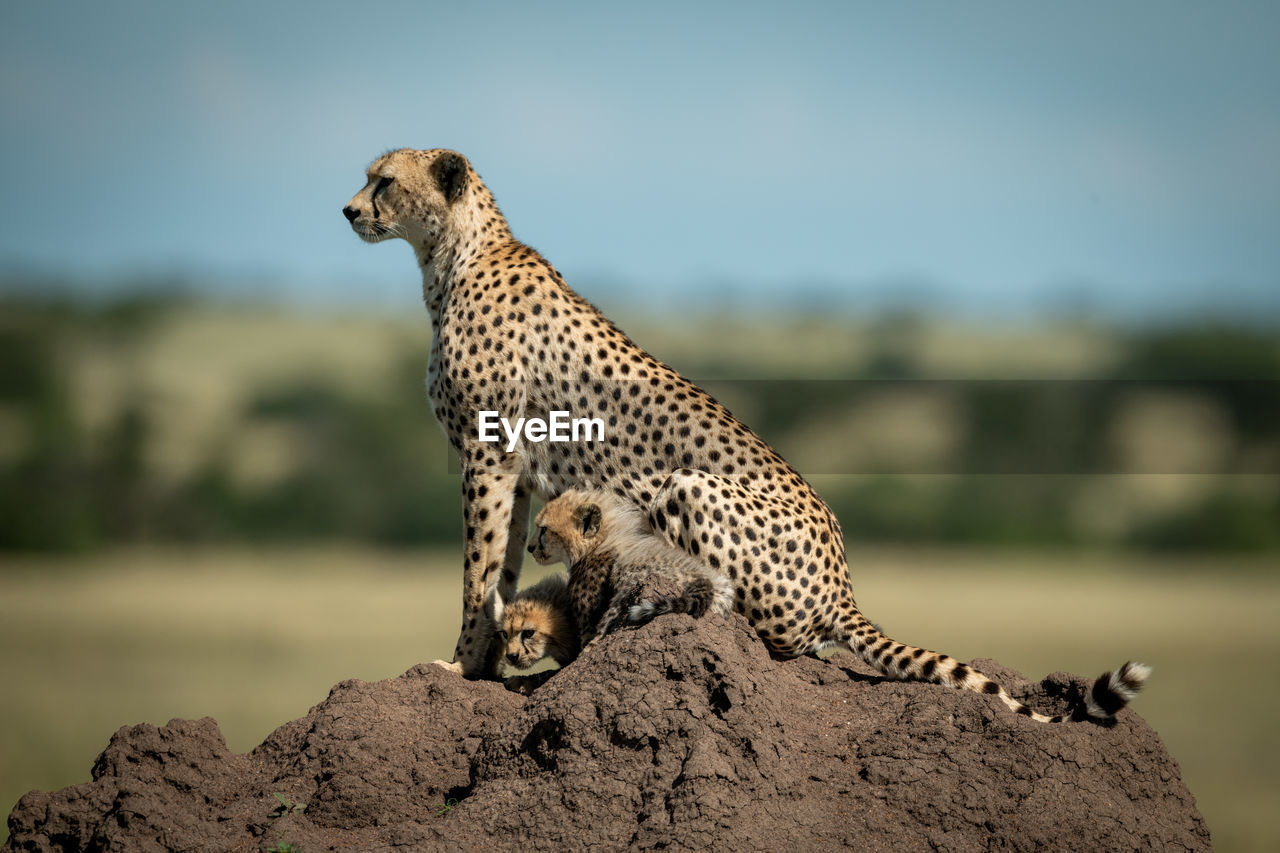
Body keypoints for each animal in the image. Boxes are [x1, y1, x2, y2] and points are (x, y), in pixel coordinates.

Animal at [343, 149, 1152, 722]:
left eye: (383, 180)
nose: (347, 210)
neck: (453, 258)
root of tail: (845, 584)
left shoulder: (489, 456)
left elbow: (477, 573)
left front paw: (458, 665)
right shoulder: (509, 469)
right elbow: (500, 570)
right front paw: (480, 666)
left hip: (687, 486)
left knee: (772, 636)